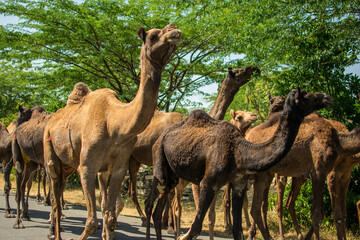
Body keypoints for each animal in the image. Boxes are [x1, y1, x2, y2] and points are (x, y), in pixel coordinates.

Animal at [43, 23, 181, 240]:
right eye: (152, 36)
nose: (174, 30)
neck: (115, 124)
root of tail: (51, 119)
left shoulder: (118, 168)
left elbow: (110, 216)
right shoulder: (87, 167)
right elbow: (92, 221)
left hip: (68, 165)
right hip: (50, 154)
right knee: (56, 200)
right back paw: (53, 233)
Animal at [145, 87, 334, 240]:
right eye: (306, 96)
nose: (326, 97)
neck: (239, 152)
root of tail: (160, 138)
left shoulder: (239, 184)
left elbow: (238, 230)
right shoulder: (208, 183)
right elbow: (196, 228)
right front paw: (181, 236)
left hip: (172, 176)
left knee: (157, 209)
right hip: (159, 160)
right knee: (153, 200)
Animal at [246, 98, 360, 239]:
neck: (339, 141)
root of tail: (249, 135)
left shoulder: (340, 175)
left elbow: (336, 214)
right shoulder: (320, 173)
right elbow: (318, 215)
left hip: (266, 174)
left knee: (256, 208)